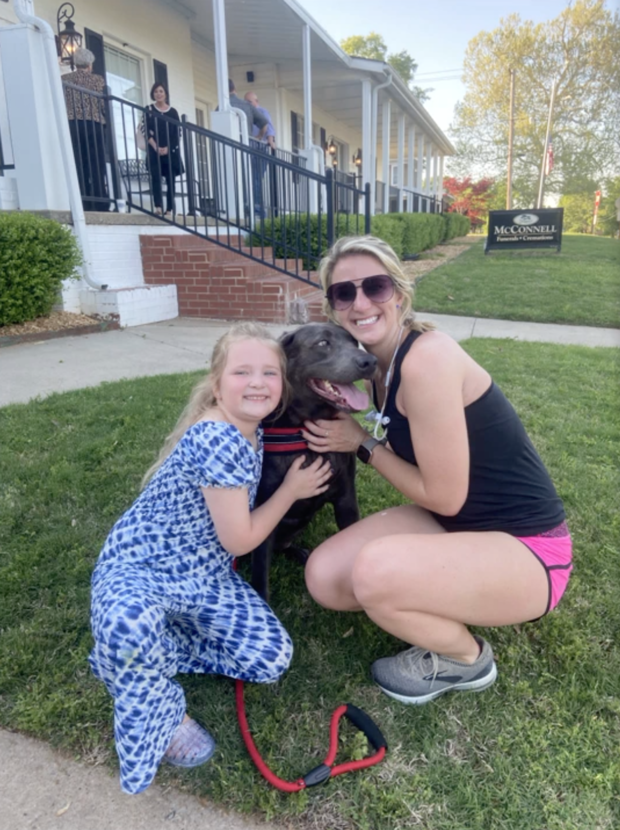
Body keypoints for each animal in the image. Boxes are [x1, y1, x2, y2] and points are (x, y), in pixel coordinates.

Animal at [252, 322, 378, 600]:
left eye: (354, 341)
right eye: (322, 343)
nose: (370, 361)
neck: (304, 434)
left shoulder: (346, 498)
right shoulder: (264, 509)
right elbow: (260, 578)